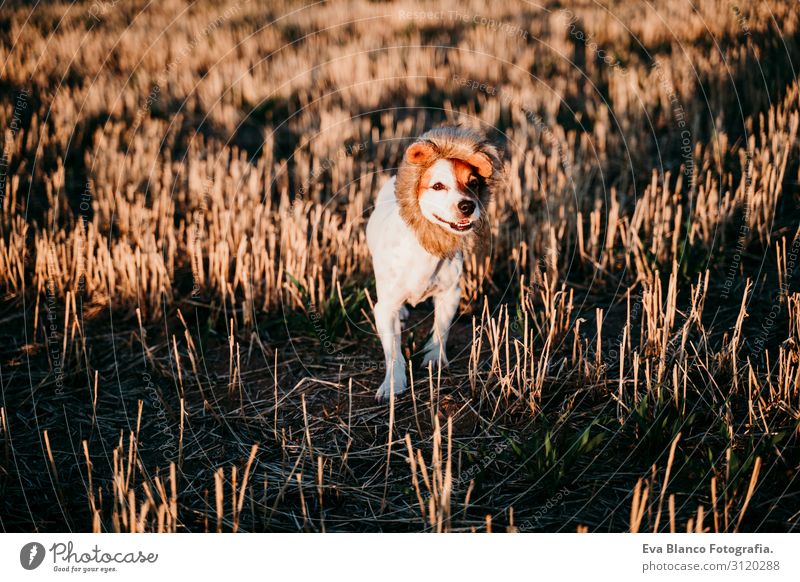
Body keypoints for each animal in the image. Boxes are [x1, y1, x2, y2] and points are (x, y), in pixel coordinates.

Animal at [364, 127, 500, 402]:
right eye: (437, 186)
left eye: (473, 183)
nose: (468, 205)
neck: (425, 248)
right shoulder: (384, 309)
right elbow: (393, 350)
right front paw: (393, 383)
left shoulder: (450, 294)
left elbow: (440, 329)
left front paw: (434, 358)